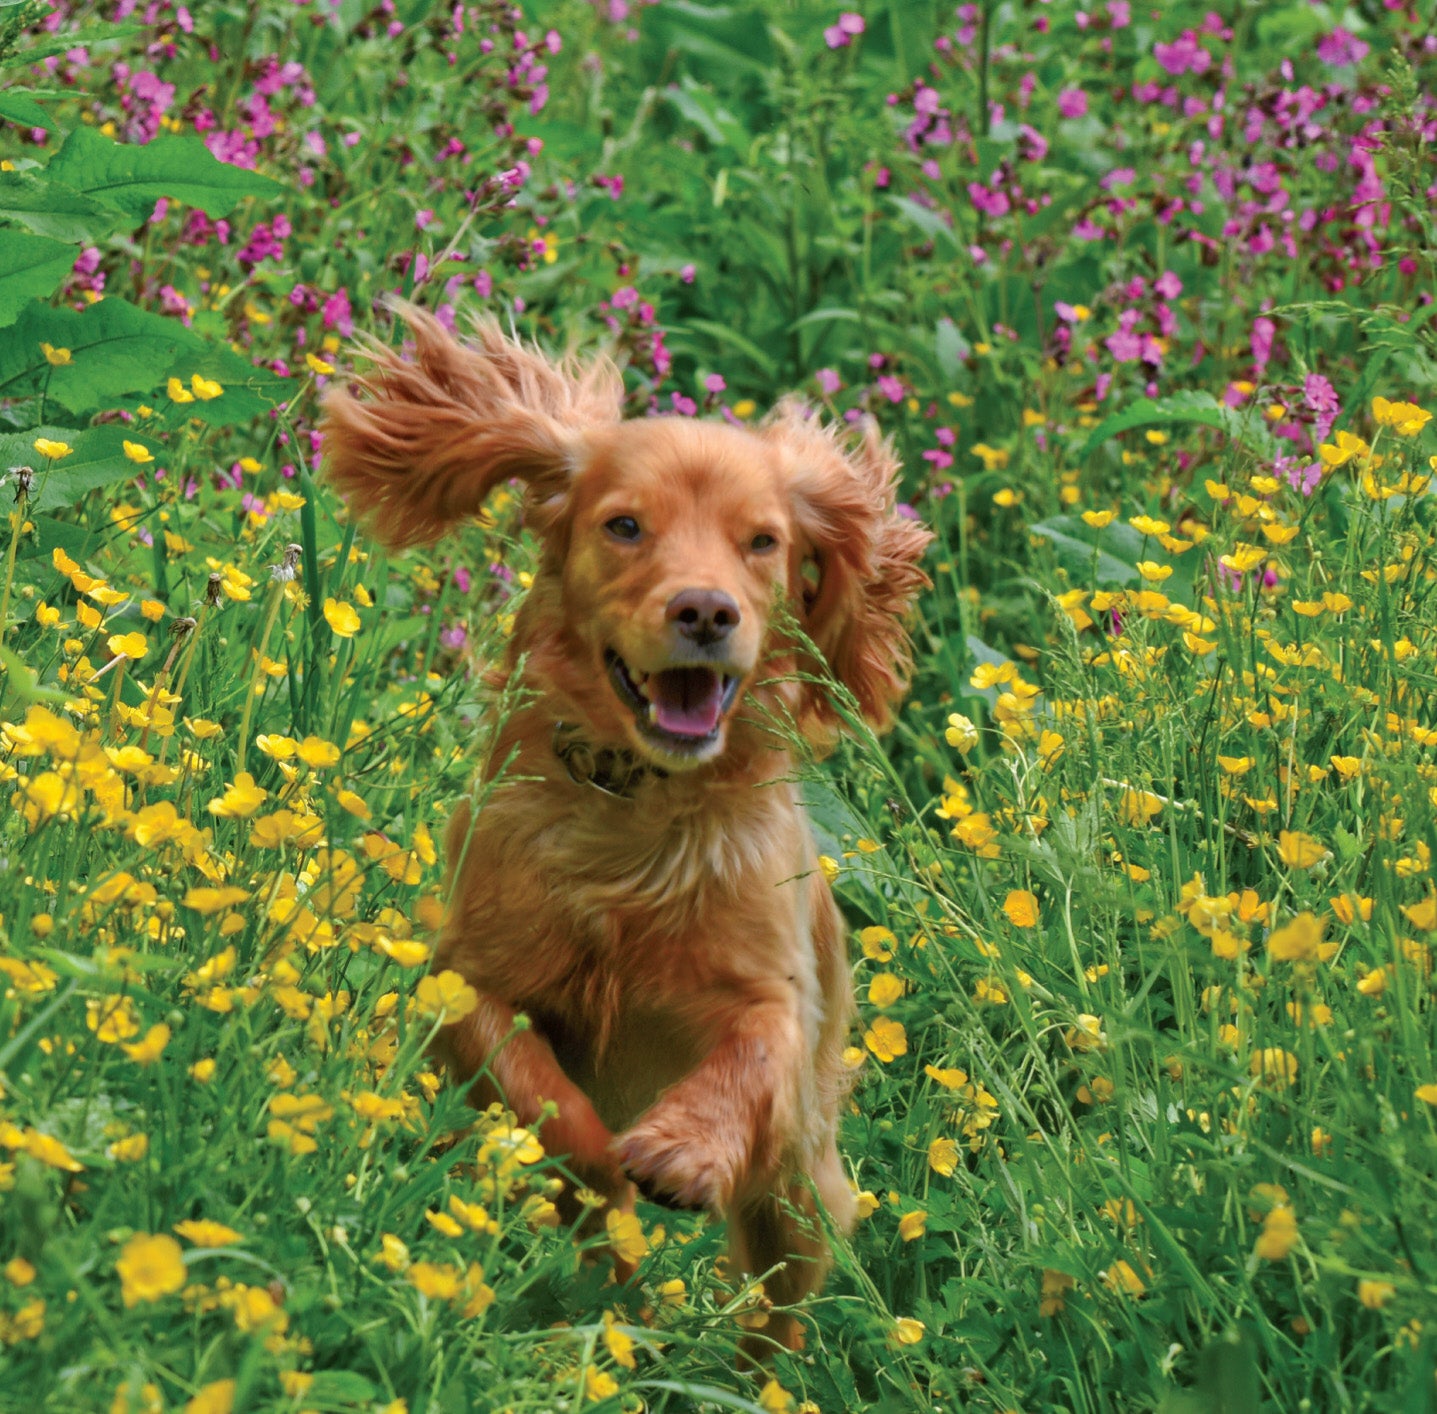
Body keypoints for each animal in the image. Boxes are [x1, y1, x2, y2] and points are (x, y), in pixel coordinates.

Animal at [321, 306, 931, 1345]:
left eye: (761, 542)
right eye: (623, 526)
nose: (706, 610)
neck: (638, 807)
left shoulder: (774, 990)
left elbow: (751, 1051)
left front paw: (683, 1149)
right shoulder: (468, 979)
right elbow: (544, 1095)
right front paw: (600, 1169)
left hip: (797, 1198)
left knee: (776, 1312)